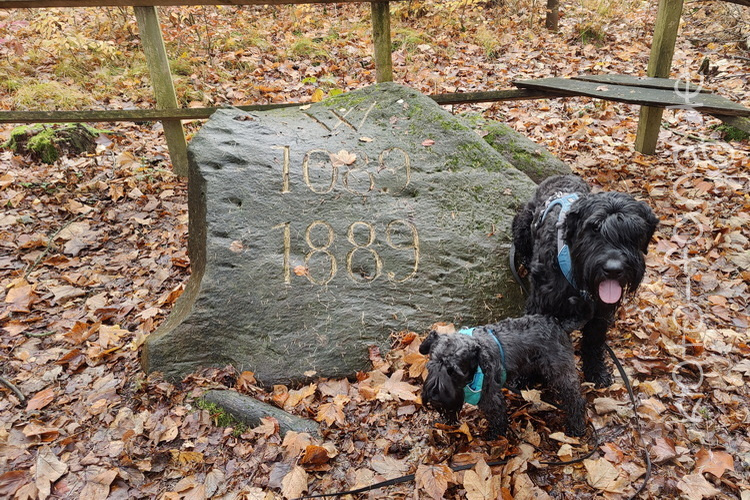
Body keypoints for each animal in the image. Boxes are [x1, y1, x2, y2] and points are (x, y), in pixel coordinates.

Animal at [419, 314, 587, 438]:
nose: (435, 397)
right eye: (431, 366)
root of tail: (560, 325)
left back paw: (576, 427)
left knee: (575, 398)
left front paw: (495, 436)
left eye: (453, 371)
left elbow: (497, 416)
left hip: (560, 371)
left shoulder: (490, 397)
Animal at [512, 174, 658, 387]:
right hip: (521, 224)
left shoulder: (601, 312)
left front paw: (595, 371)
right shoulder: (540, 305)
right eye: (594, 228)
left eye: (634, 231)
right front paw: (525, 378)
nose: (613, 269)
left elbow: (594, 341)